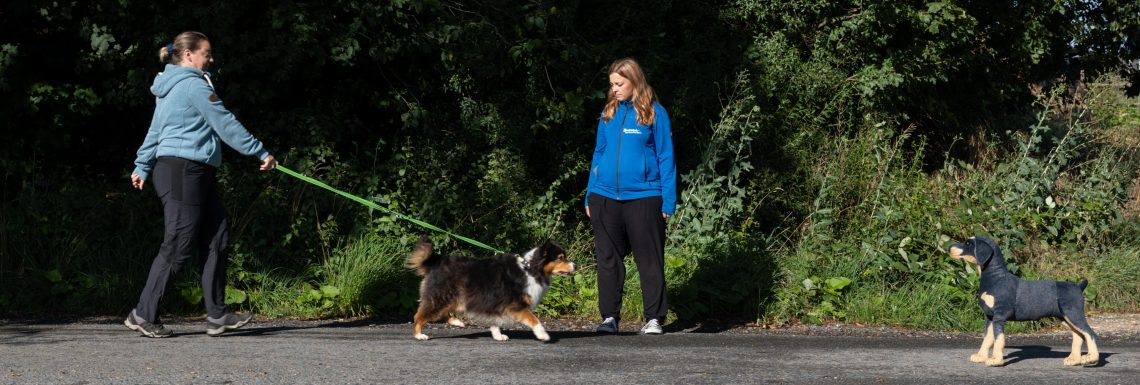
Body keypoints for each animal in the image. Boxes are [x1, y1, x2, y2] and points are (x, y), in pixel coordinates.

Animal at [405, 235, 574, 341]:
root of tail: (434, 262)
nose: (575, 265)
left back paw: (456, 322)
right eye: (560, 258)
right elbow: (534, 319)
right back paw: (419, 335)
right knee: (419, 316)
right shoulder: (516, 305)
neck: (530, 269)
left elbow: (495, 322)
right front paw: (543, 335)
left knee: (442, 312)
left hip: (452, 297)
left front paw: (498, 336)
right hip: (441, 296)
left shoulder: (495, 303)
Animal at [948, 234, 1098, 366]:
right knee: (1079, 335)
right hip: (1065, 318)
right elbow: (987, 339)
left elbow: (998, 340)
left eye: (968, 244)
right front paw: (981, 356)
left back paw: (1091, 358)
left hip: (1073, 314)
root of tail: (1078, 286)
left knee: (1090, 333)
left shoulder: (1000, 316)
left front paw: (995, 360)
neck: (995, 278)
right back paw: (1074, 359)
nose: (949, 247)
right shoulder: (990, 318)